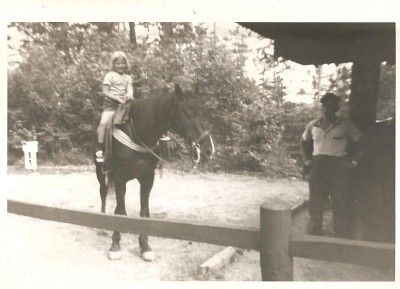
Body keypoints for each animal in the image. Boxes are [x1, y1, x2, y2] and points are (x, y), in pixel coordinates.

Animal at [95, 84, 214, 260]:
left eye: (203, 111)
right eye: (187, 111)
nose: (209, 150)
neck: (138, 133)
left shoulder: (147, 179)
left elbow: (144, 213)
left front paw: (145, 247)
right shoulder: (120, 178)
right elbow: (120, 212)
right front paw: (115, 246)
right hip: (100, 172)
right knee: (103, 193)